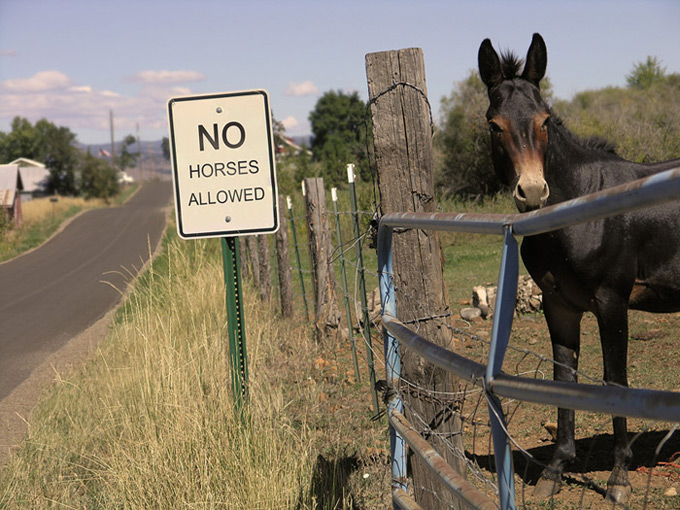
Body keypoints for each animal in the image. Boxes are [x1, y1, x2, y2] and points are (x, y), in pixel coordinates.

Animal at [478, 33, 680, 504]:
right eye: (495, 125)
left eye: (545, 120)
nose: (533, 192)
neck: (581, 208)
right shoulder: (560, 307)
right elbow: (563, 380)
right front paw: (555, 470)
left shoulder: (611, 303)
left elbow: (614, 384)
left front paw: (619, 478)